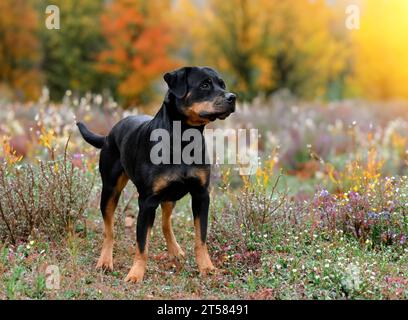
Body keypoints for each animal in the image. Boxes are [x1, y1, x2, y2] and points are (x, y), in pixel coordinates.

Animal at [77, 66, 236, 282]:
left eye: (222, 84)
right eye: (205, 84)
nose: (232, 97)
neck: (183, 139)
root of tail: (110, 133)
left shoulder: (201, 195)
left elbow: (200, 238)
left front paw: (207, 268)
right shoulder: (147, 201)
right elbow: (142, 244)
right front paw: (135, 275)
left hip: (169, 195)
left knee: (165, 223)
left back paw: (175, 250)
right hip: (110, 189)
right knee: (109, 230)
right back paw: (105, 261)